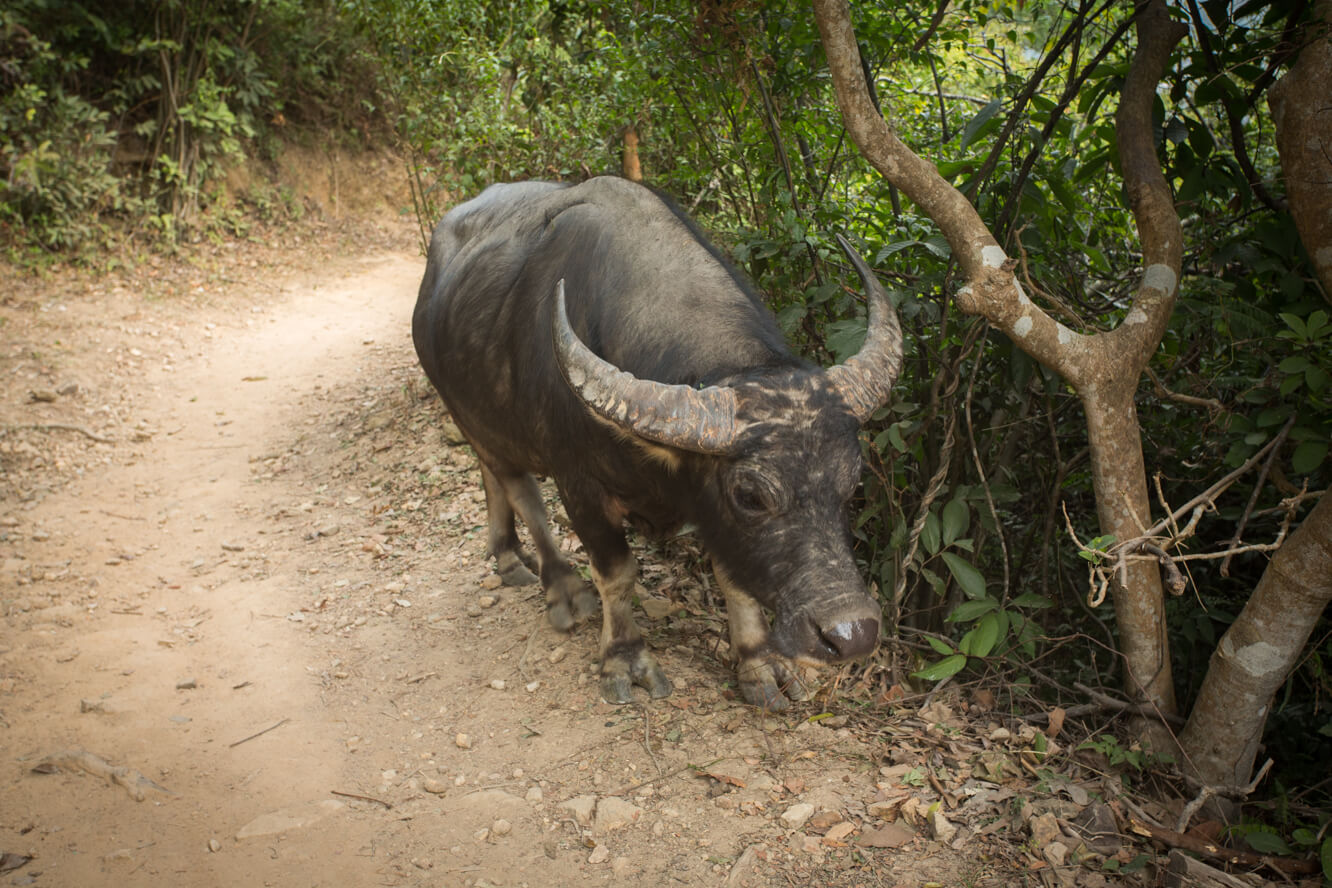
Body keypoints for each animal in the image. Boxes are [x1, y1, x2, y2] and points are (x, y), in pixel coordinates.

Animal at [410, 177, 900, 713]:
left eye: (852, 482)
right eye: (751, 496)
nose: (851, 634)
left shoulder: (707, 504)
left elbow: (734, 576)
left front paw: (758, 662)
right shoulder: (579, 483)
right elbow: (617, 572)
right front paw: (625, 658)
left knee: (491, 473)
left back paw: (507, 554)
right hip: (461, 409)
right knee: (519, 487)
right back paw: (560, 587)